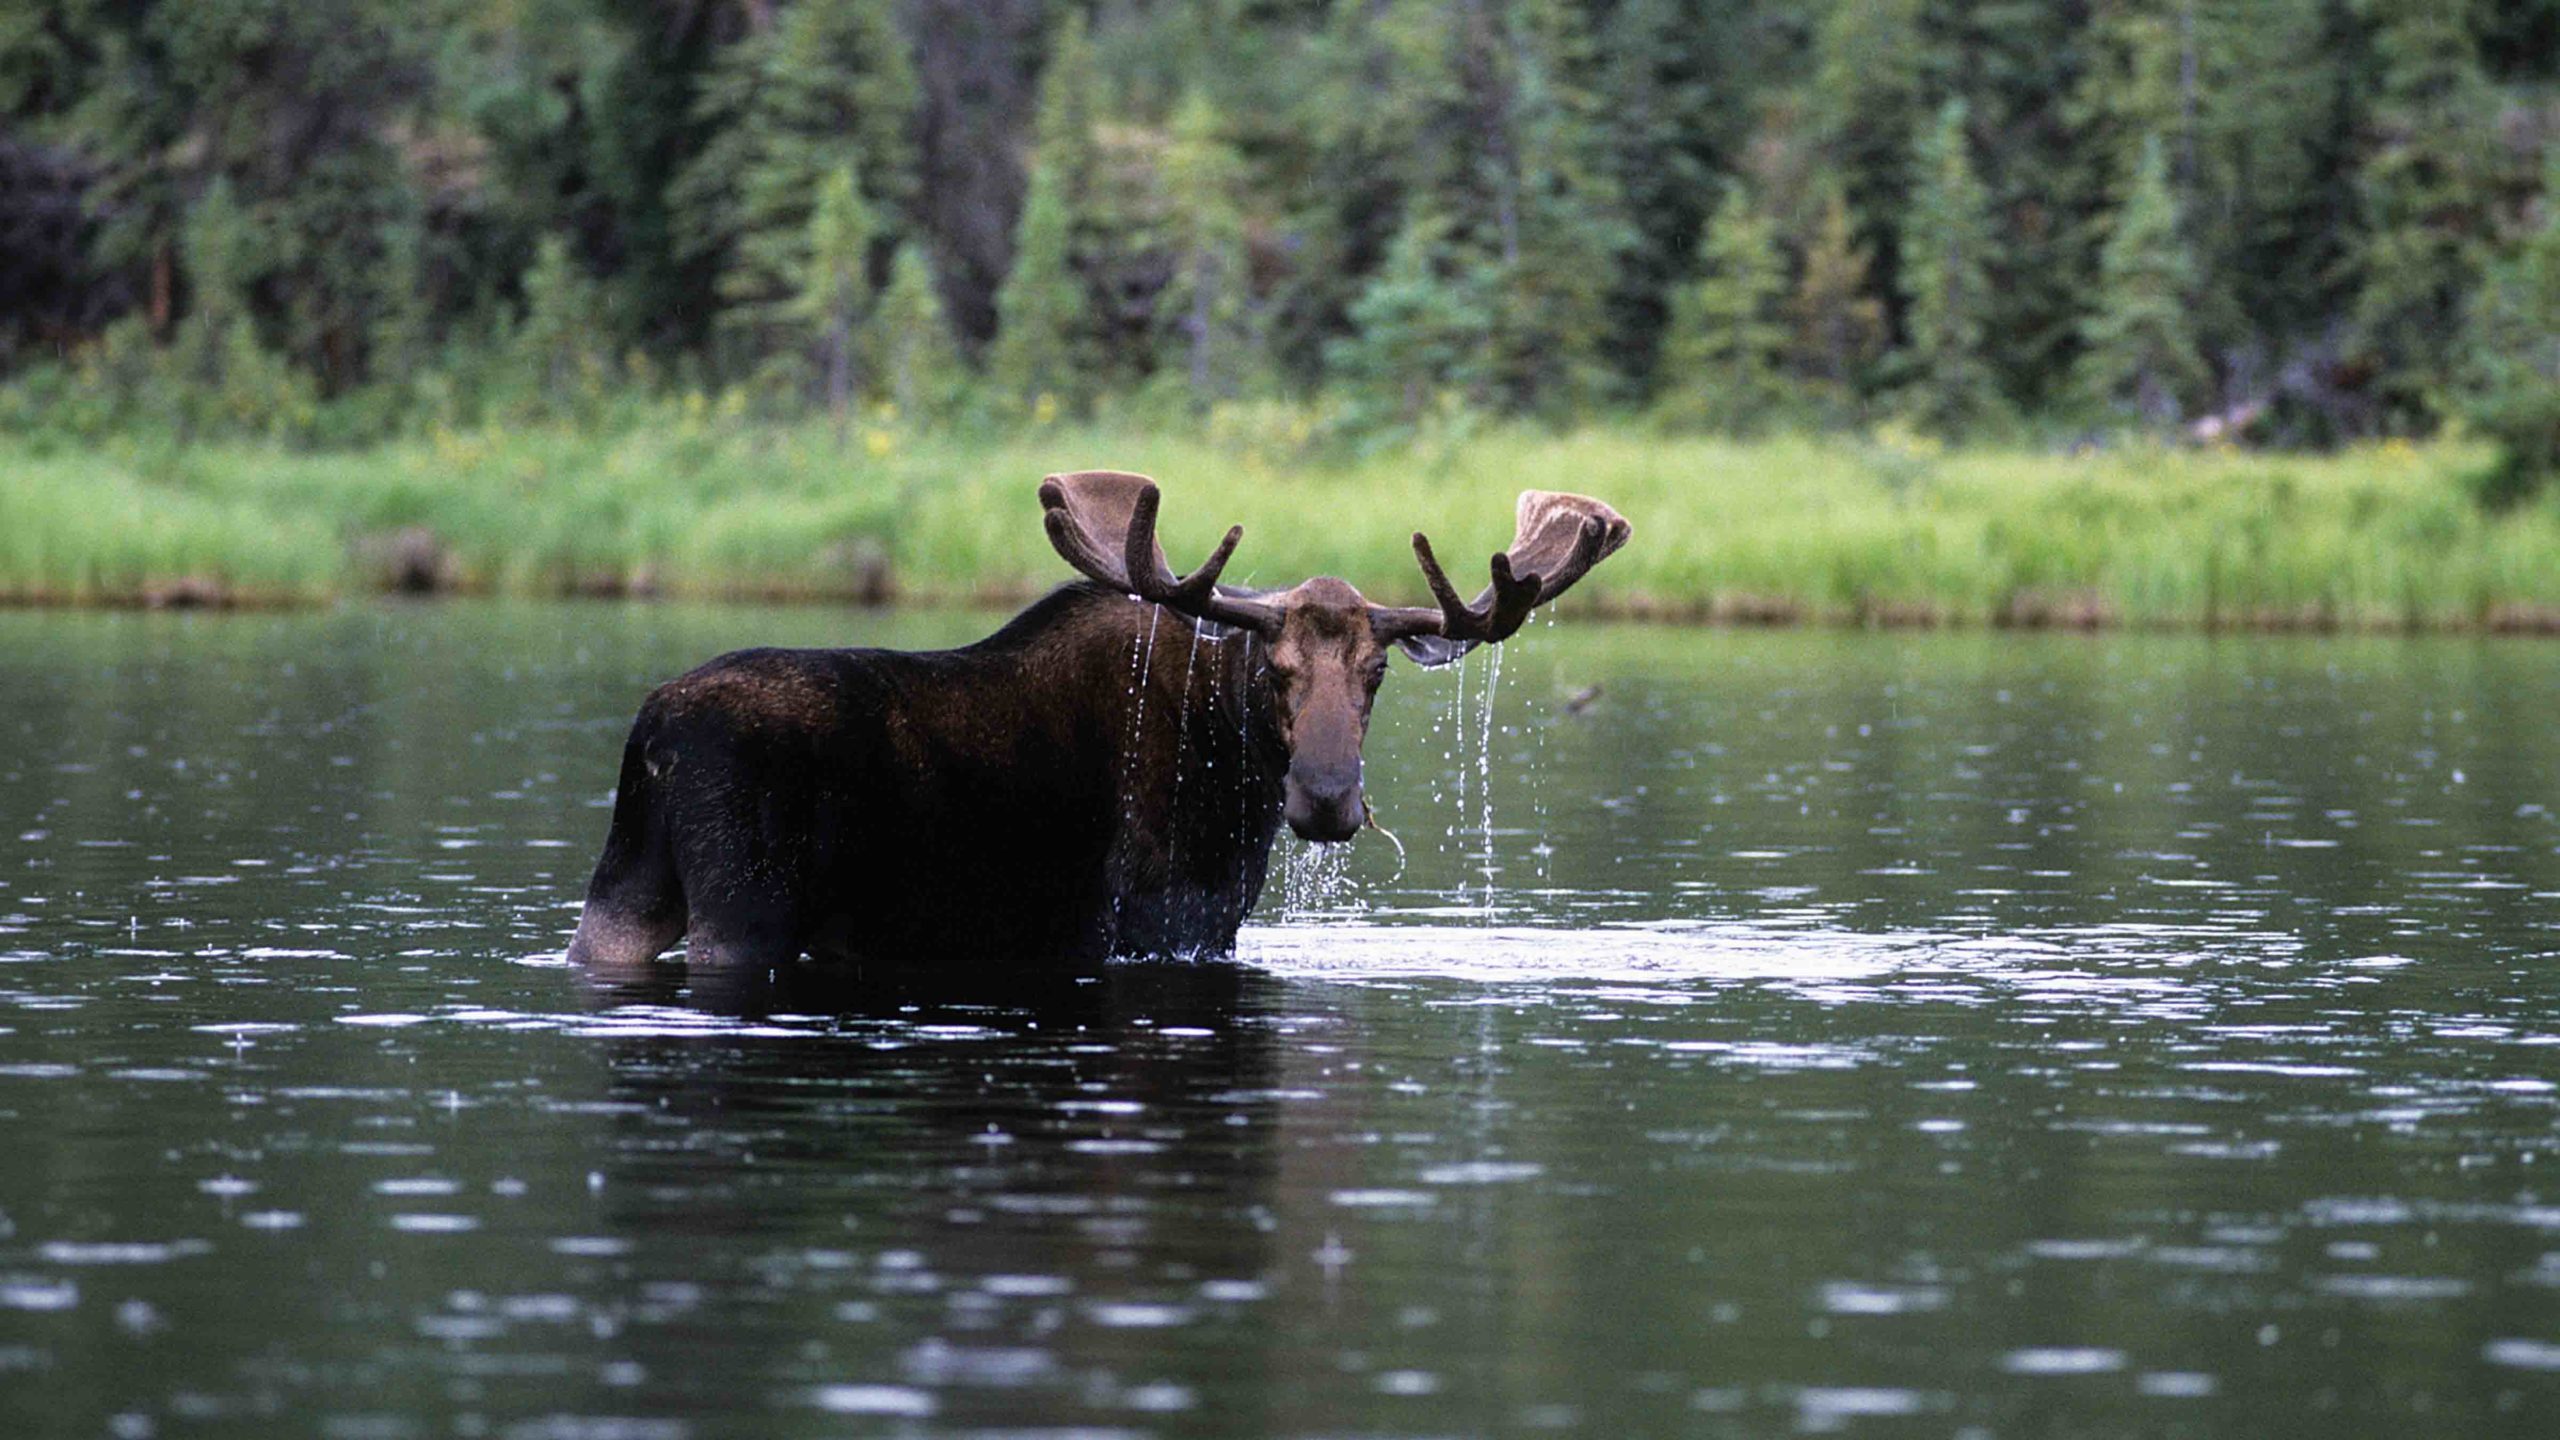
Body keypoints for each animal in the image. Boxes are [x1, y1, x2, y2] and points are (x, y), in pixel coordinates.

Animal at [564, 470, 1629, 975]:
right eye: (1273, 670)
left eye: (1374, 675)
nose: (1328, 801)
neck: (1231, 781)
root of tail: (652, 733)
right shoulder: (1163, 925)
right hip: (743, 908)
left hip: (623, 892)